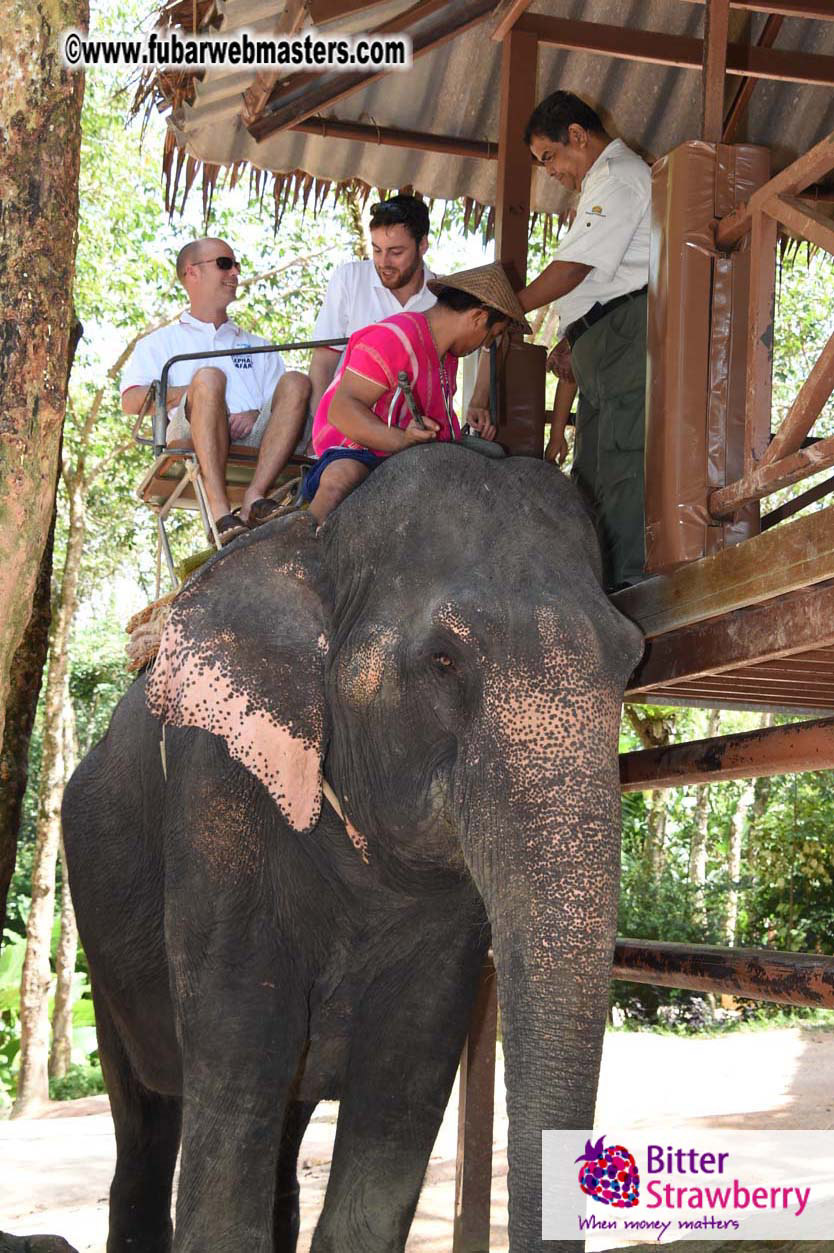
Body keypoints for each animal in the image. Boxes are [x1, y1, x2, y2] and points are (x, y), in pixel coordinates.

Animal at [62, 443, 643, 1252]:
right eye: (442, 661)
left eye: (631, 660)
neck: (320, 546)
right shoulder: (216, 784)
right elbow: (242, 1045)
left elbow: (408, 1064)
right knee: (147, 1123)